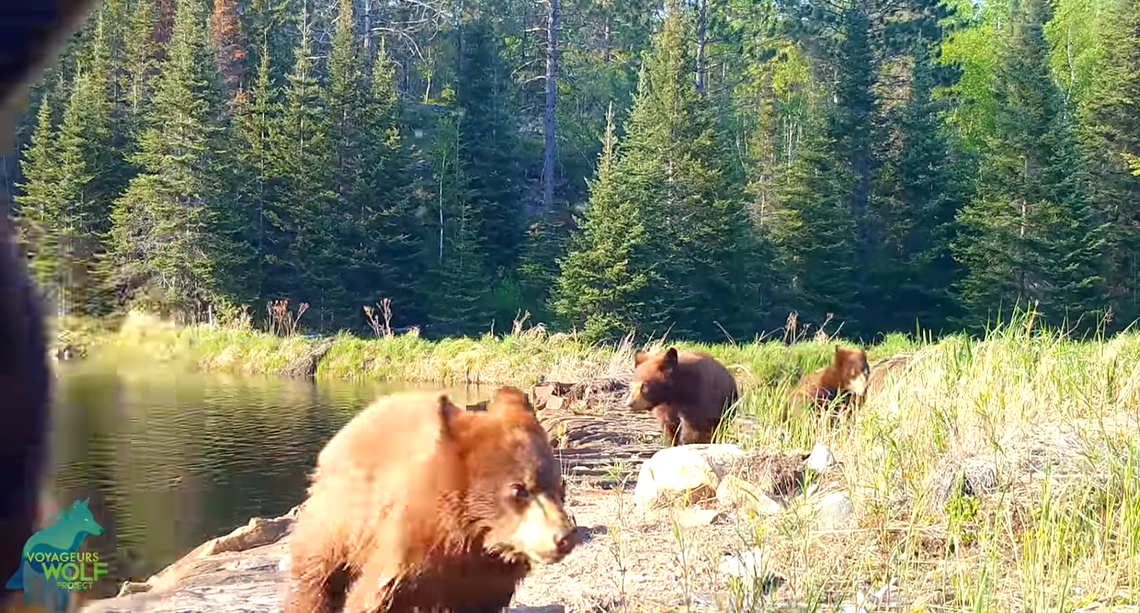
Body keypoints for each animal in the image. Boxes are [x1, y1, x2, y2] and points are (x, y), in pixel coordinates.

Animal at [286, 389, 577, 613]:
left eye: (559, 486)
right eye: (519, 489)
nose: (564, 537)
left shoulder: (485, 581)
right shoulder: (404, 547)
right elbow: (373, 595)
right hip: (338, 523)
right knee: (317, 577)